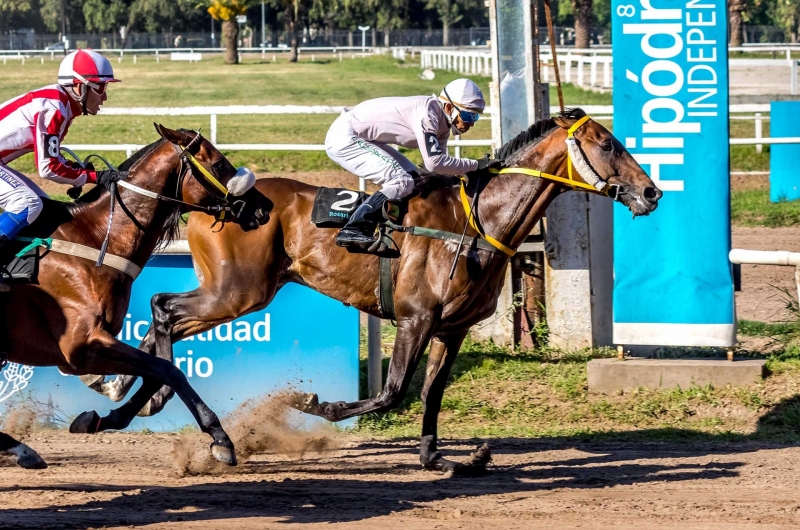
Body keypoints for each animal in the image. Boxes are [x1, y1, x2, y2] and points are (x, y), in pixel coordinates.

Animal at [0, 126, 268, 468]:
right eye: (220, 163)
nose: (264, 207)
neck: (97, 239)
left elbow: (158, 370)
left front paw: (100, 419)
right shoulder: (80, 347)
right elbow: (169, 370)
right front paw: (220, 437)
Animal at [83, 109, 664, 472]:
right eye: (608, 144)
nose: (652, 192)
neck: (478, 222)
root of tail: (217, 203)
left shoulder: (452, 329)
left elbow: (430, 393)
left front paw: (440, 457)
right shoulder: (415, 318)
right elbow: (392, 392)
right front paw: (316, 403)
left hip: (240, 293)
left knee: (164, 320)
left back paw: (126, 402)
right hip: (238, 291)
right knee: (164, 309)